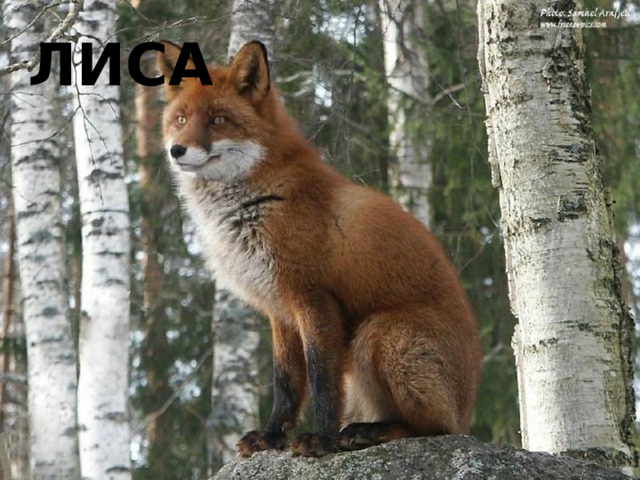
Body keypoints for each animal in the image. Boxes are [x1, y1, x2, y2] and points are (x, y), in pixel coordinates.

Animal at [157, 40, 482, 457]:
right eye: (181, 119)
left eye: (217, 120)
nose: (177, 150)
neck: (256, 204)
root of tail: (468, 411)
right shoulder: (278, 309)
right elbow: (286, 382)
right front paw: (272, 436)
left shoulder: (313, 297)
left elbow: (322, 379)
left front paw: (322, 439)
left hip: (380, 333)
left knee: (436, 428)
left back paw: (369, 432)